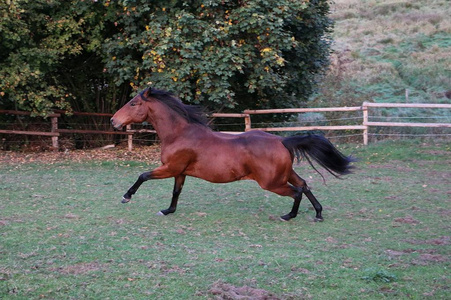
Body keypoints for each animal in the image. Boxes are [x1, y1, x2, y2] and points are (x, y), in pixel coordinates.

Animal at [110, 86, 356, 220]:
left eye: (133, 103)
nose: (113, 121)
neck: (179, 134)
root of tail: (282, 140)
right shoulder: (180, 172)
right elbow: (176, 192)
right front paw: (167, 210)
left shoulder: (170, 168)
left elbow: (143, 176)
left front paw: (126, 197)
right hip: (285, 174)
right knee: (304, 185)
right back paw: (318, 213)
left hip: (272, 182)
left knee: (296, 192)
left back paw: (289, 216)